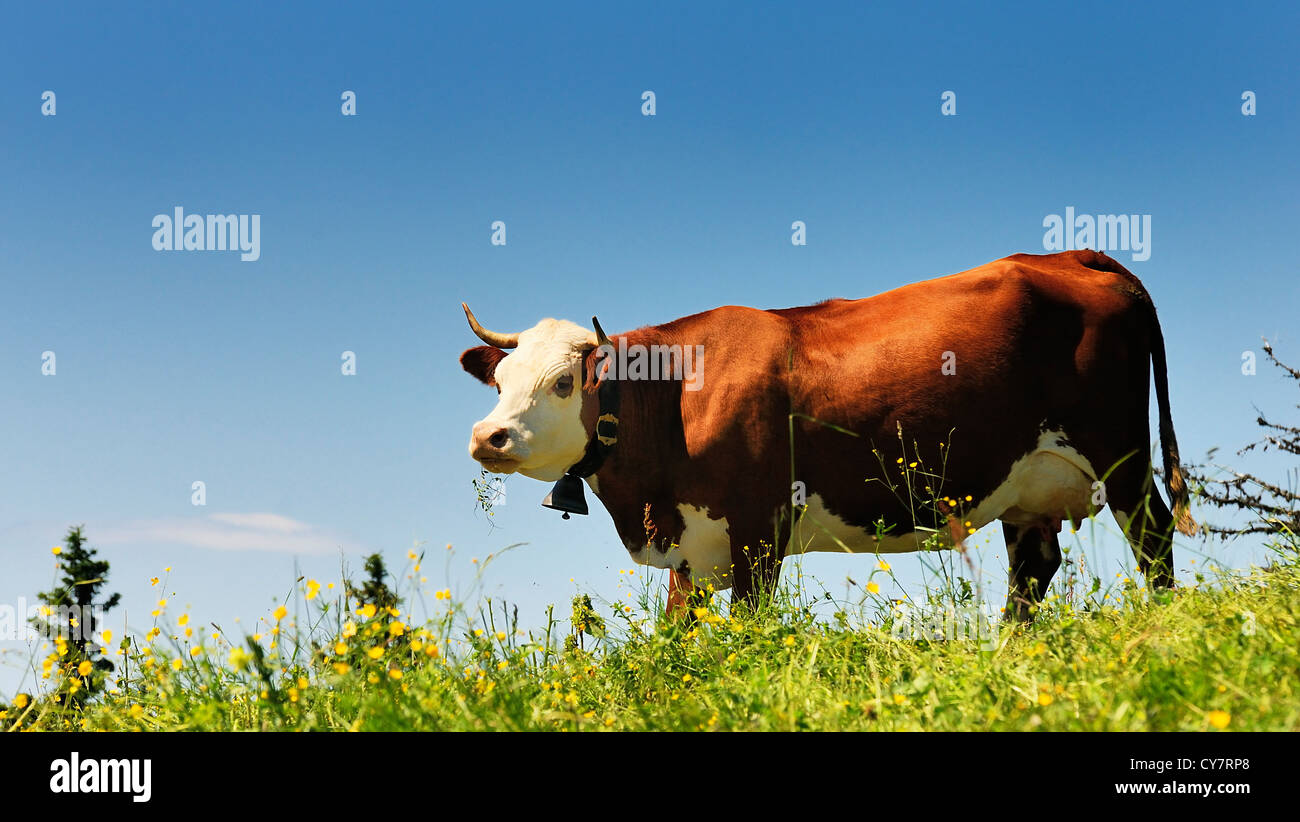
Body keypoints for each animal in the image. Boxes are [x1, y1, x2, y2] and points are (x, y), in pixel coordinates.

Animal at [459, 250, 1197, 621]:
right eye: (500, 383)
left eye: (563, 381)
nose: (487, 436)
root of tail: (1075, 255)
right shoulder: (690, 547)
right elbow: (677, 633)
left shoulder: (759, 529)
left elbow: (749, 629)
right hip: (1026, 482)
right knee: (1033, 570)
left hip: (1122, 456)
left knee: (1154, 543)